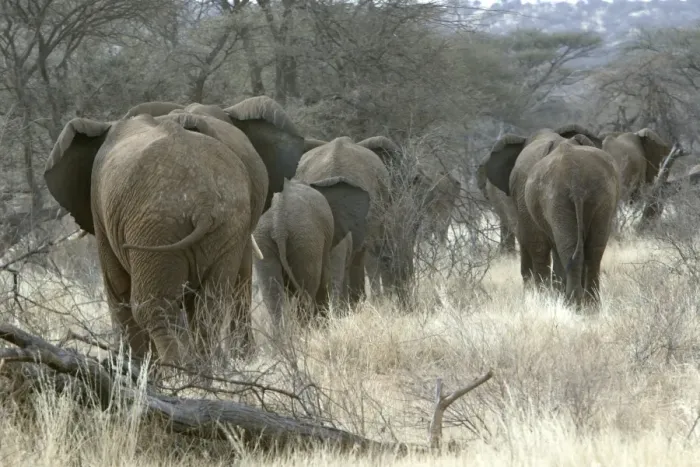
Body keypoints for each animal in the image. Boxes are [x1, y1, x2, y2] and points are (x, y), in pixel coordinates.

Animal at [483, 125, 619, 307]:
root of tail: (574, 175)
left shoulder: (521, 194)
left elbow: (534, 243)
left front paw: (543, 298)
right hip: (600, 194)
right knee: (593, 250)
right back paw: (591, 306)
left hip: (557, 198)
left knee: (567, 250)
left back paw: (574, 305)